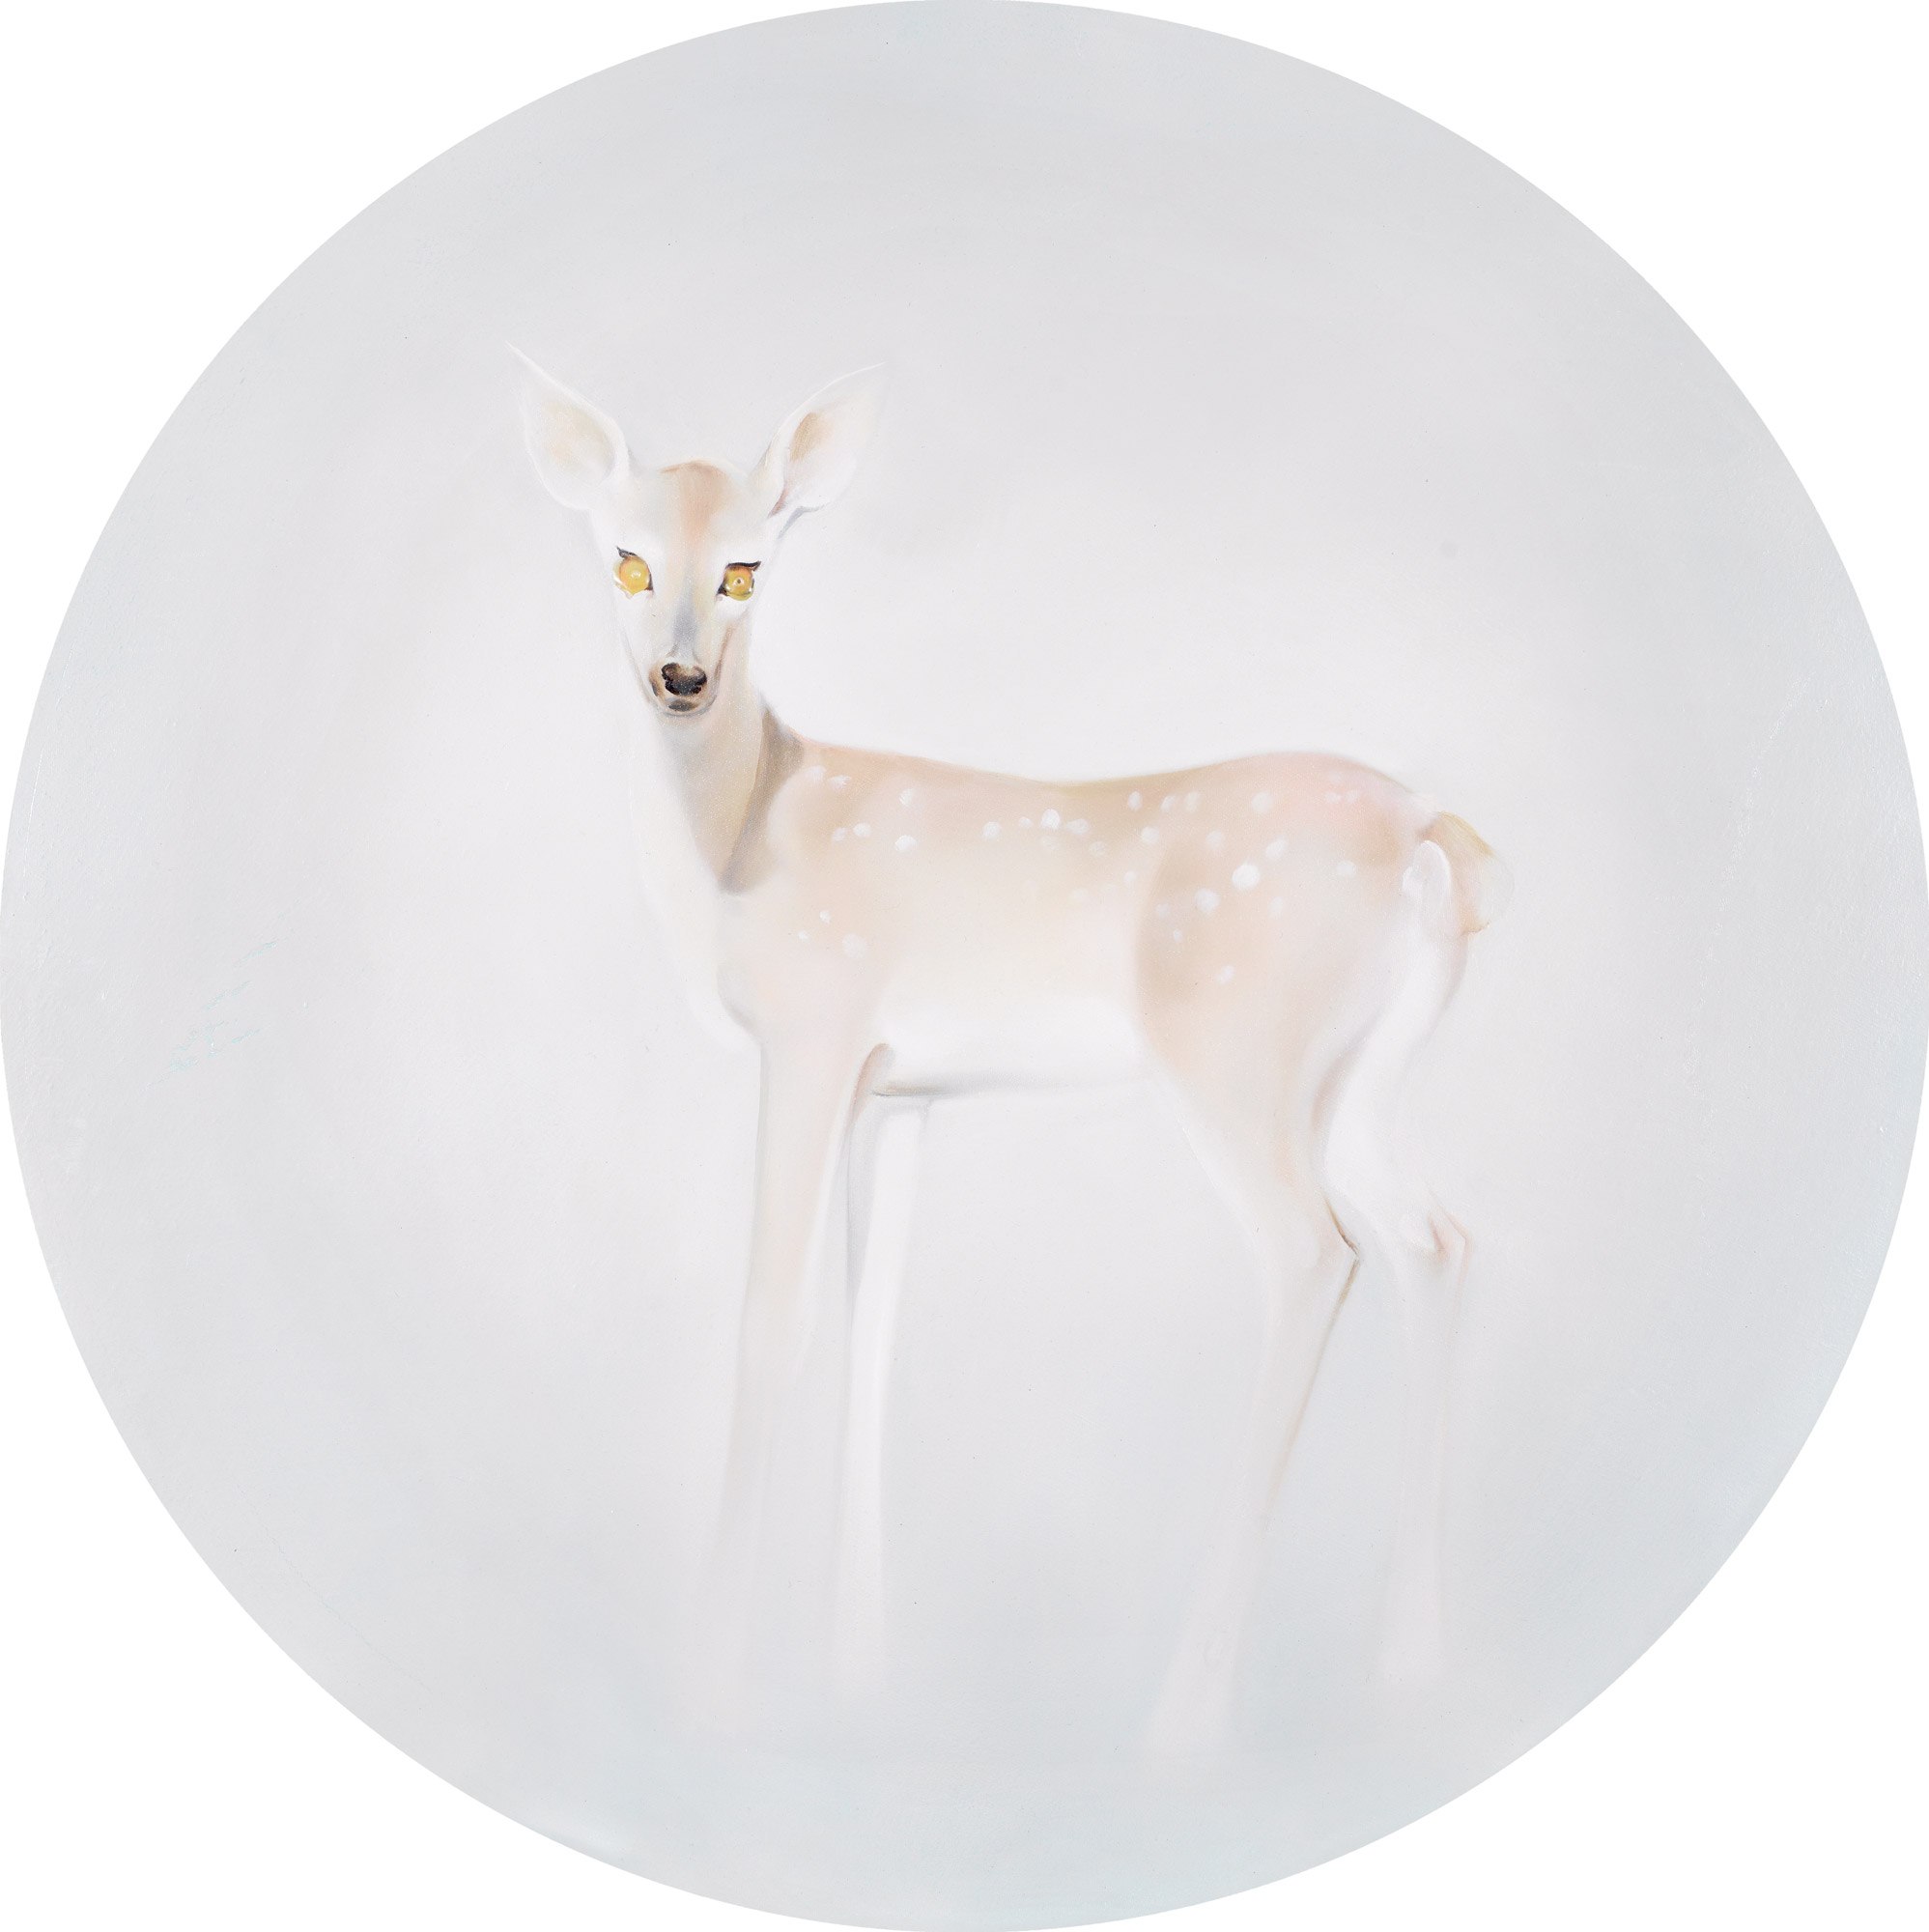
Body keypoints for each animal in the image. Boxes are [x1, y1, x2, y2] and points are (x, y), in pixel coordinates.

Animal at [517, 354, 1509, 1756]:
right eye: (624, 557)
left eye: (747, 567)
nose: (679, 679)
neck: (742, 842)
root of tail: (1441, 840)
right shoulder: (900, 1084)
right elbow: (872, 1327)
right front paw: (856, 1673)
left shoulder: (813, 1025)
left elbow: (772, 1318)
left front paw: (712, 1683)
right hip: (1362, 1074)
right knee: (1437, 1238)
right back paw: (1412, 1661)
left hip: (1237, 1044)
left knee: (1316, 1254)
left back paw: (1189, 1707)